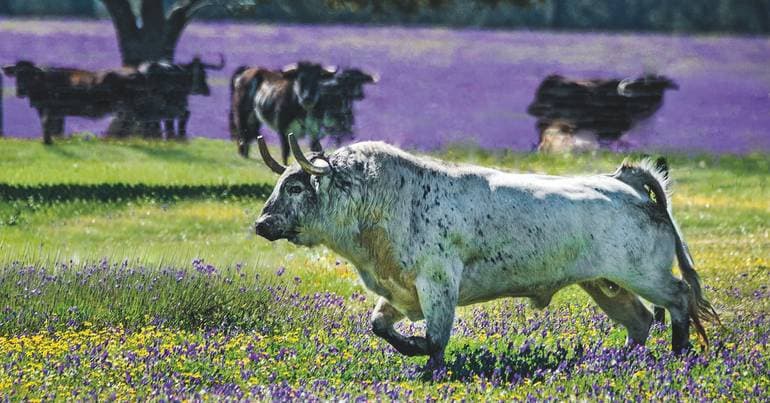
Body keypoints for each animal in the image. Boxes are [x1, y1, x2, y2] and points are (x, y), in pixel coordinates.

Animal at [1, 60, 136, 144]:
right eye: (17, 75)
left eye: (31, 75)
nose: (20, 91)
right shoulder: (54, 112)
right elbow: (54, 129)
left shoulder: (51, 110)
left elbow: (49, 125)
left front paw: (48, 141)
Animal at [253, 135, 719, 371]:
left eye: (295, 186)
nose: (261, 224)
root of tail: (624, 181)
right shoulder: (399, 291)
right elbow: (380, 326)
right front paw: (410, 350)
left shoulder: (438, 283)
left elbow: (435, 339)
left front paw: (427, 365)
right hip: (605, 284)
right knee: (639, 322)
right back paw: (612, 362)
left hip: (644, 275)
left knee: (679, 299)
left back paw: (678, 356)